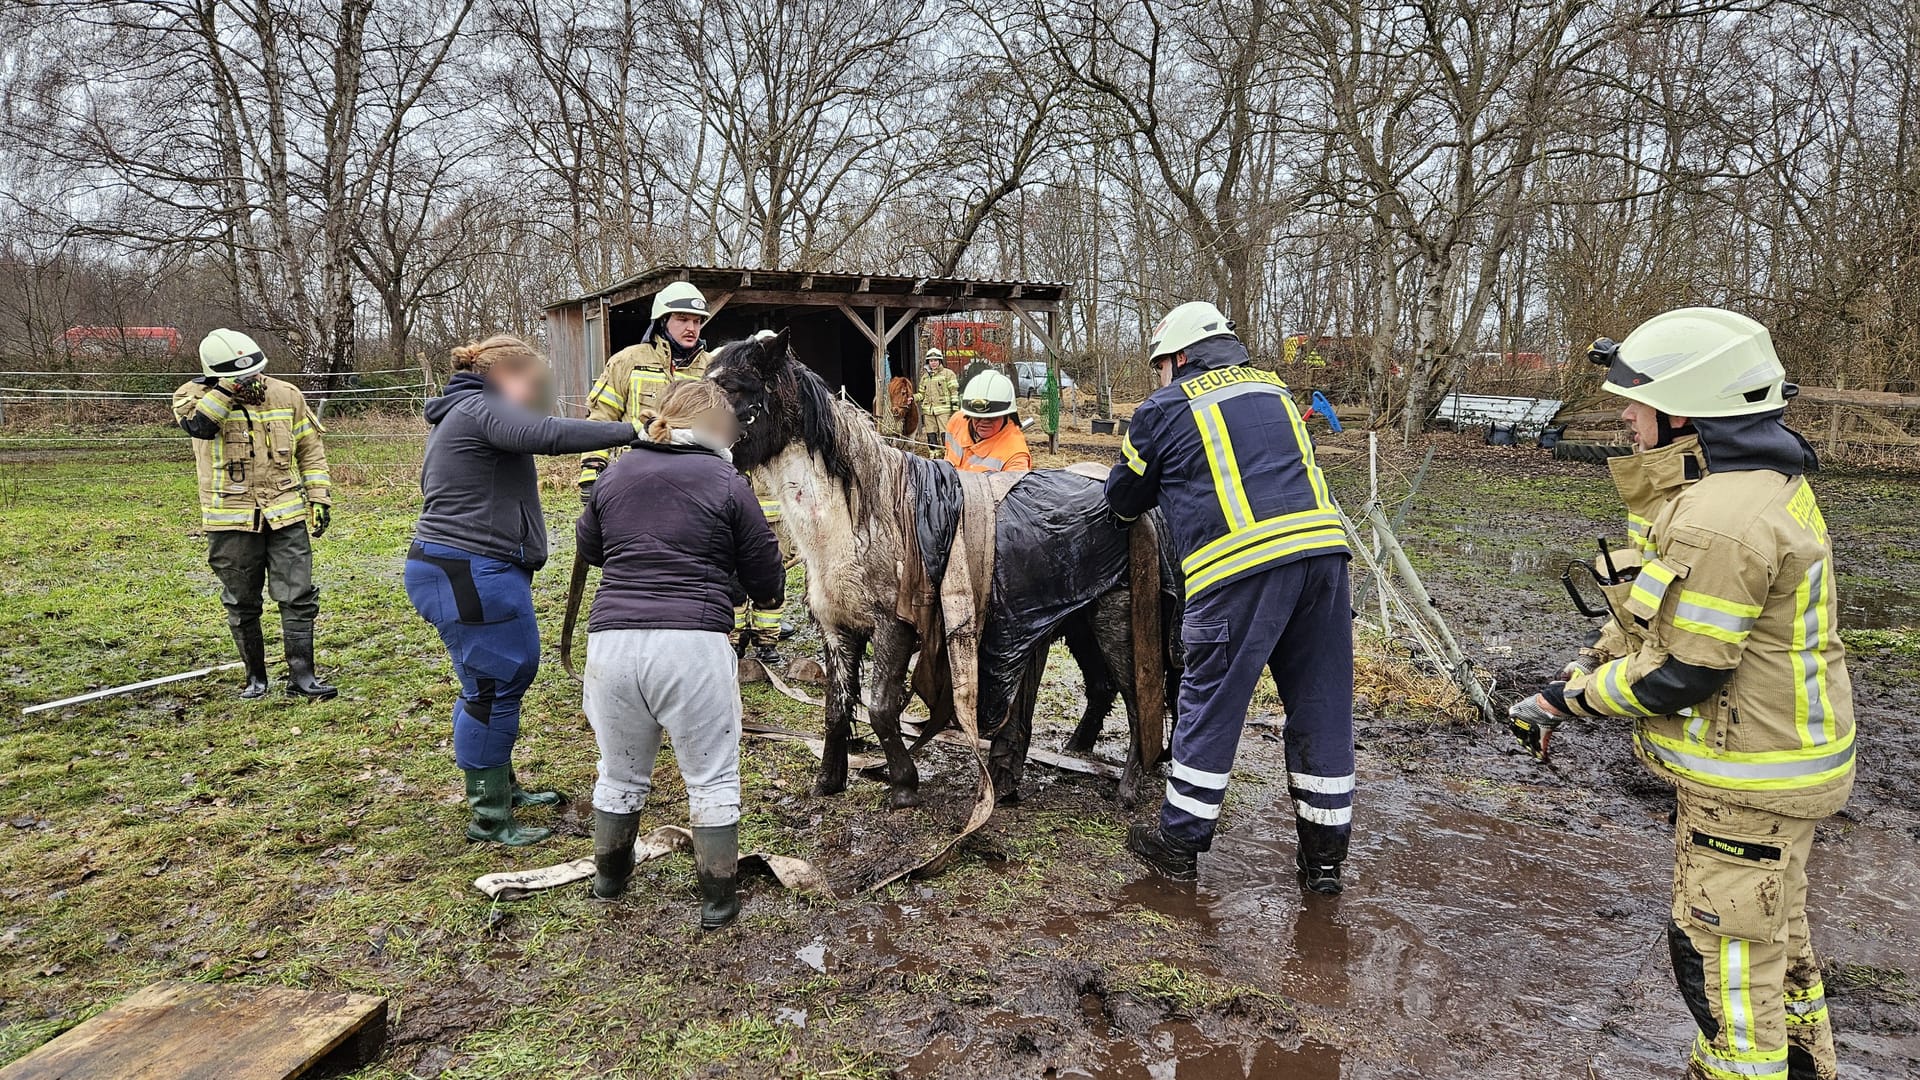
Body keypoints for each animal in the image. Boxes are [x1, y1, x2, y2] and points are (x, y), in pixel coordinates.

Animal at [702, 328, 1152, 807]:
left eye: (734, 386)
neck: (862, 520)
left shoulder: (894, 626)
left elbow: (881, 707)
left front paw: (903, 783)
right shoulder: (837, 627)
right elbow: (836, 707)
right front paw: (829, 779)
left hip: (1116, 623)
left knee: (1137, 699)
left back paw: (1128, 785)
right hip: (1075, 621)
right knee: (1101, 687)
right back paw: (1074, 749)